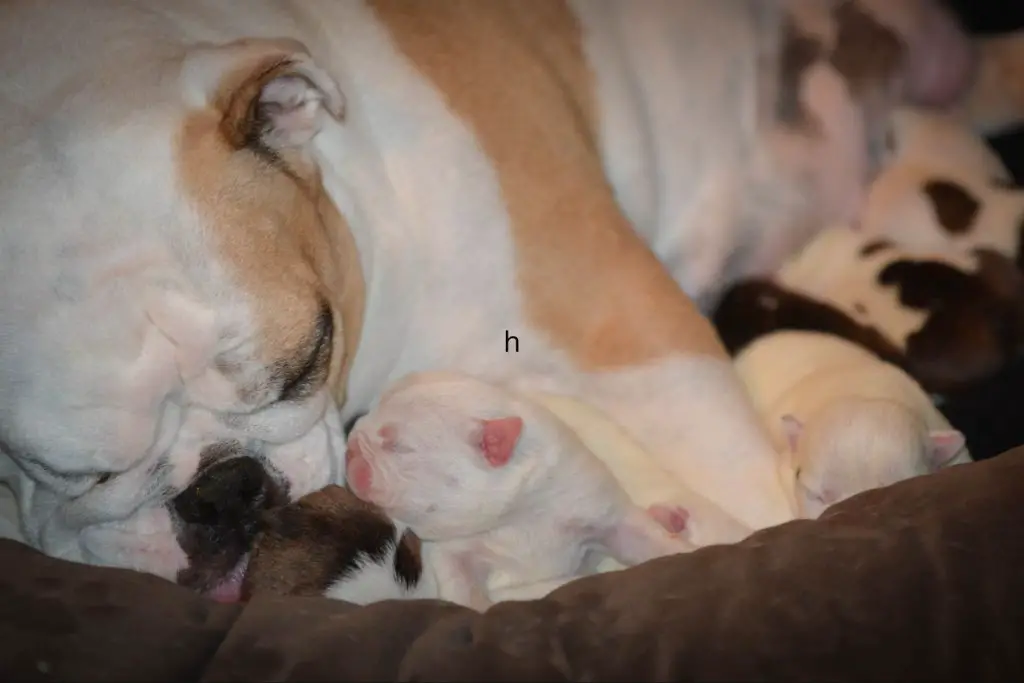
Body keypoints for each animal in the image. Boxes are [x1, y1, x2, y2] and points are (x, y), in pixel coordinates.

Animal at [346, 370, 696, 610]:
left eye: (397, 446)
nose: (349, 448)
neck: (518, 516)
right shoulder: (451, 550)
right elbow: (459, 579)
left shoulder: (590, 499)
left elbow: (639, 537)